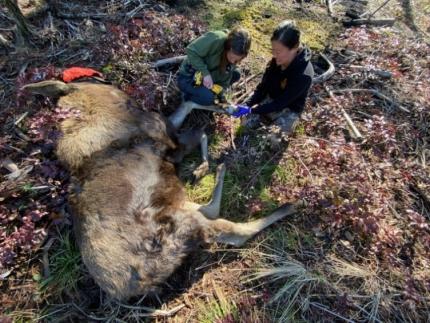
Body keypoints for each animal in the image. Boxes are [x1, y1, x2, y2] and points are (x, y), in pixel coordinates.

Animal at [23, 80, 298, 302]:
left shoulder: (166, 139)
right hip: (181, 222)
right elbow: (196, 126)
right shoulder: (164, 138)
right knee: (233, 229)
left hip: (178, 212)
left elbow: (189, 115)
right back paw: (282, 203)